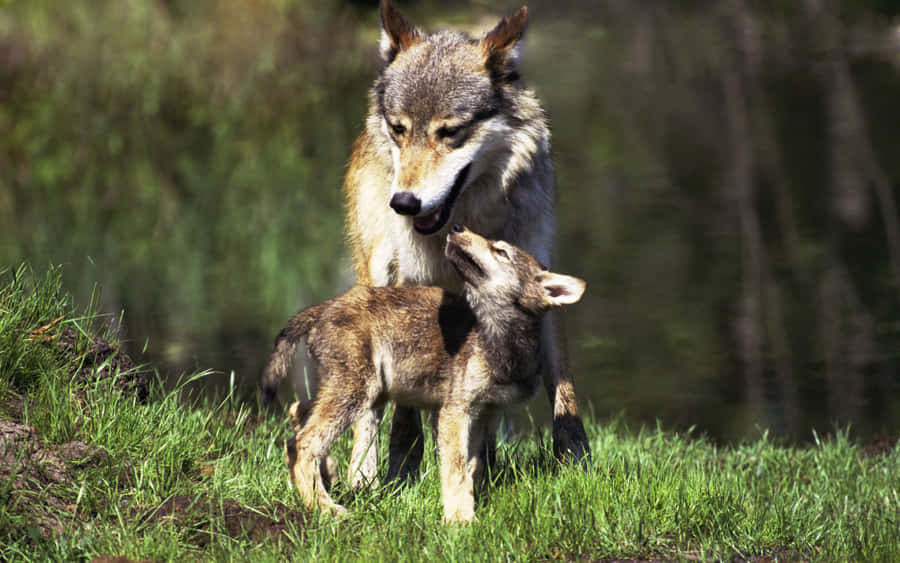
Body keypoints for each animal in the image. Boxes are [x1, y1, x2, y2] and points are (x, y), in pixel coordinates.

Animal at [269, 226, 585, 522]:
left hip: (364, 392)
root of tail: (323, 307)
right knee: (302, 445)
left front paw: (467, 509)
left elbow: (472, 467)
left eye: (501, 251)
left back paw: (328, 478)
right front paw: (460, 521)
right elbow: (456, 470)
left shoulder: (485, 413)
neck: (498, 339)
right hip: (358, 392)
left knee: (298, 416)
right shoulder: (454, 412)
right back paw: (324, 507)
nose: (457, 227)